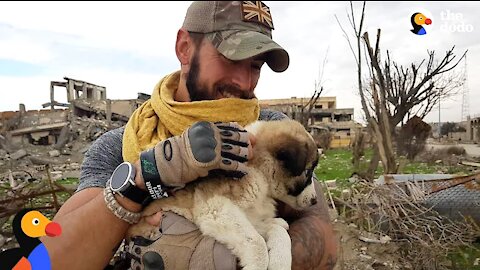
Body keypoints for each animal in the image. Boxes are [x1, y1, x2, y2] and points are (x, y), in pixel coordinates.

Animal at [128, 120, 318, 270]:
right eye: (308, 172)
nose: (315, 201)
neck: (259, 171)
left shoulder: (248, 217)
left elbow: (277, 232)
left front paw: (280, 260)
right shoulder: (215, 208)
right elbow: (256, 242)